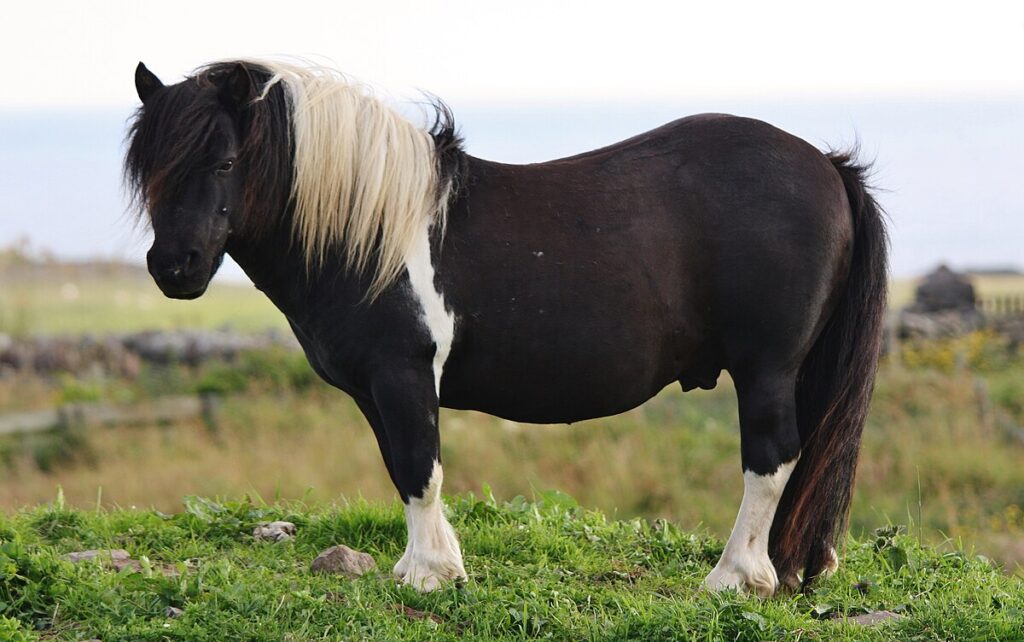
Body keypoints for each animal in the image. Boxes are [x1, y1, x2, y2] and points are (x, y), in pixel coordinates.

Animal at [124, 59, 888, 596]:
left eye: (225, 161)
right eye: (148, 170)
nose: (174, 268)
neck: (370, 233)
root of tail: (826, 166)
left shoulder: (403, 373)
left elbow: (420, 467)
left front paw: (430, 575)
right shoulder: (376, 388)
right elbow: (403, 468)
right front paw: (427, 565)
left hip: (767, 369)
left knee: (771, 458)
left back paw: (735, 578)